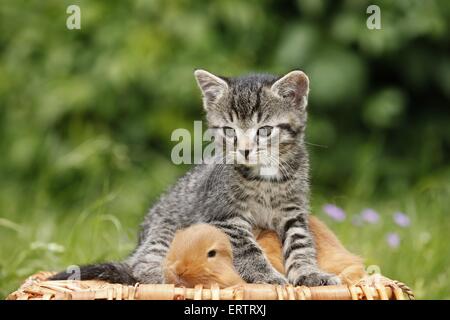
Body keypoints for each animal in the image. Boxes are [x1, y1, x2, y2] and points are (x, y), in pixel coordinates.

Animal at [51, 69, 340, 284]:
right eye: (230, 131)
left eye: (265, 130)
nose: (245, 150)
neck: (265, 179)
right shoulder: (223, 216)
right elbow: (248, 248)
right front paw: (267, 276)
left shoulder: (294, 213)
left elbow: (301, 245)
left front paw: (310, 274)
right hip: (166, 229)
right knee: (141, 267)